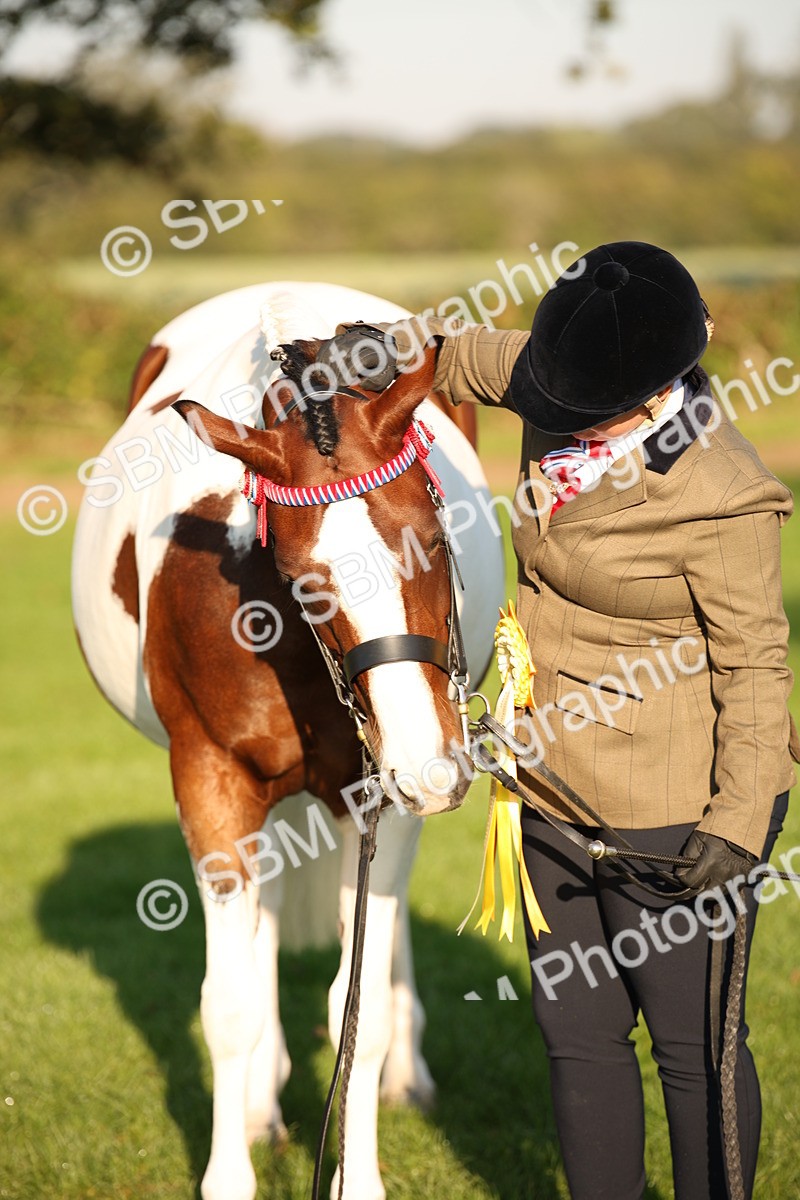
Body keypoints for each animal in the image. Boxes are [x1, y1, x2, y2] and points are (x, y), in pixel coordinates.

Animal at [71, 281, 504, 1200]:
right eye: (307, 580)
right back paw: (262, 1102)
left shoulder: (379, 795)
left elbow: (359, 1010)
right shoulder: (213, 782)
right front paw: (231, 1167)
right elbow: (227, 1006)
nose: (430, 767)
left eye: (434, 537)